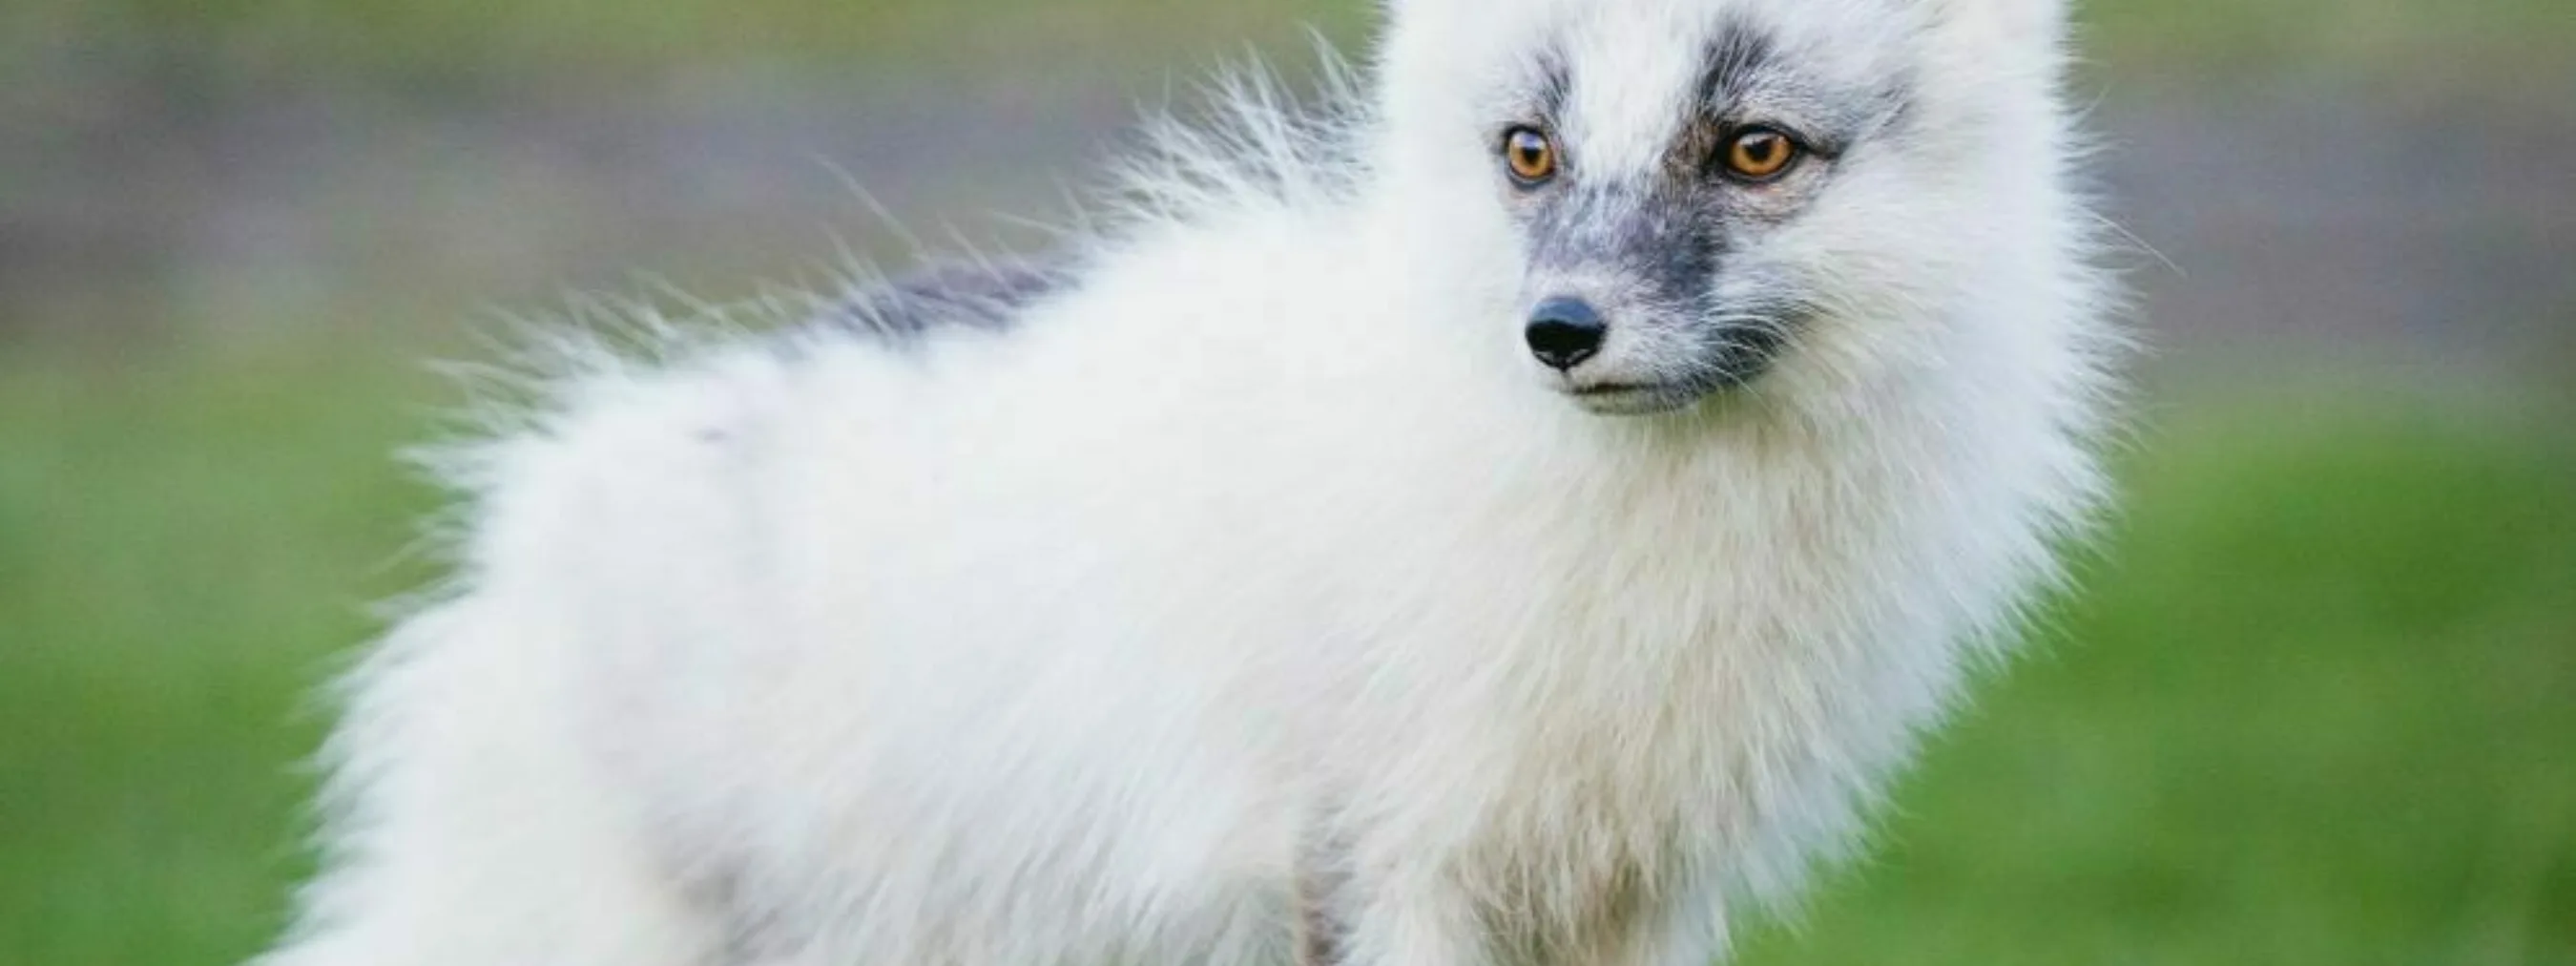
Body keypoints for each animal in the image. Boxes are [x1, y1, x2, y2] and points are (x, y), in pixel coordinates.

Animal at [256, 1, 2112, 966]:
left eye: (1754, 150)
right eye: (1527, 154)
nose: (1558, 334)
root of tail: (515, 549)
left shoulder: (1620, 905)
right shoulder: (1367, 868)